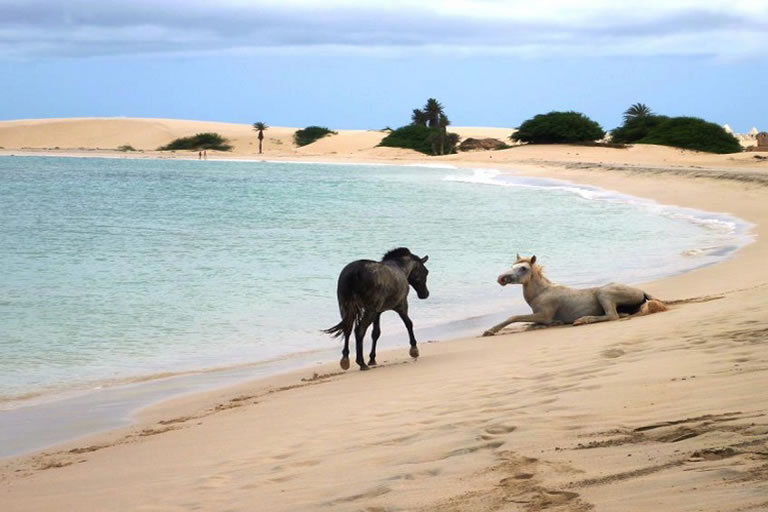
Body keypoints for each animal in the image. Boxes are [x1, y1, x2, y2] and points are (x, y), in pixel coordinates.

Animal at [482, 254, 667, 336]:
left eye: (523, 268)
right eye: (512, 266)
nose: (501, 278)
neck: (541, 293)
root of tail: (641, 291)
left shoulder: (544, 315)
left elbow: (514, 317)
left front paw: (490, 331)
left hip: (604, 294)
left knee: (612, 316)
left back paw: (583, 320)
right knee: (620, 314)